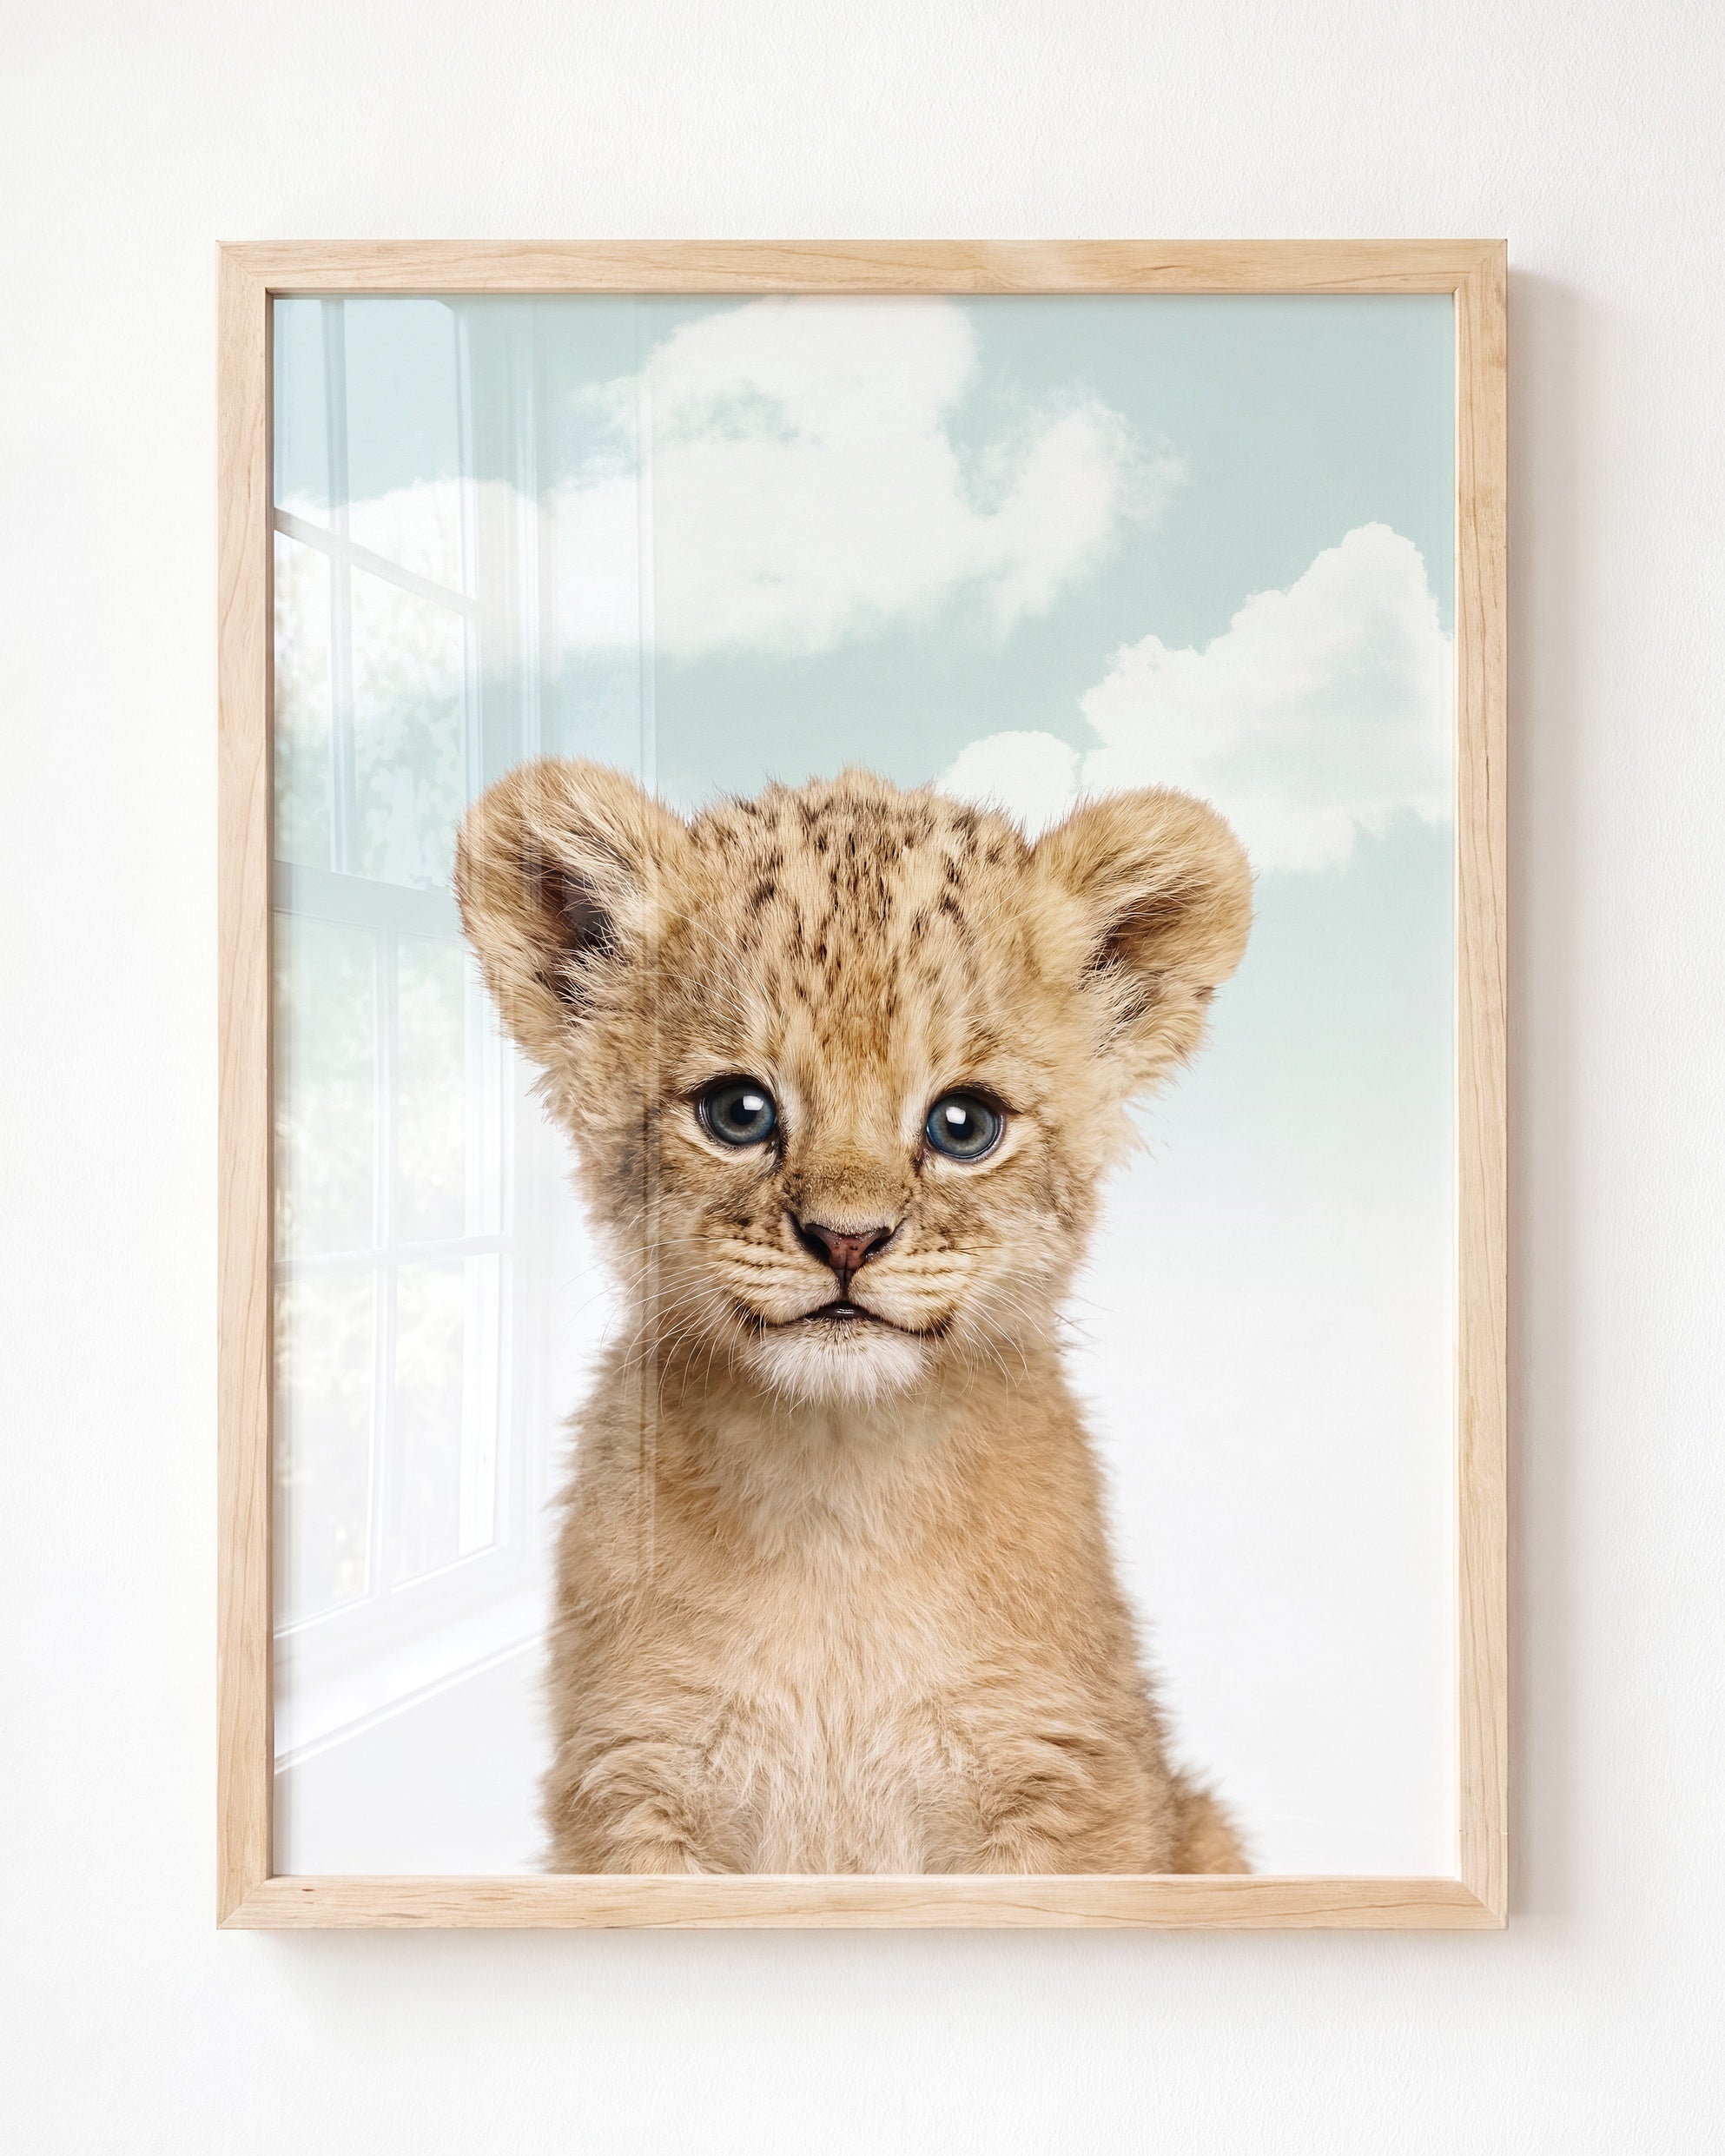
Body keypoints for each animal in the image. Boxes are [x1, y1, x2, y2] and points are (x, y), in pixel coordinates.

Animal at [455, 760, 1253, 1874]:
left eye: (964, 1125)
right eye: (738, 1111)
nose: (845, 1240)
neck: (836, 1498)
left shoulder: (1068, 1778)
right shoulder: (633, 1783)